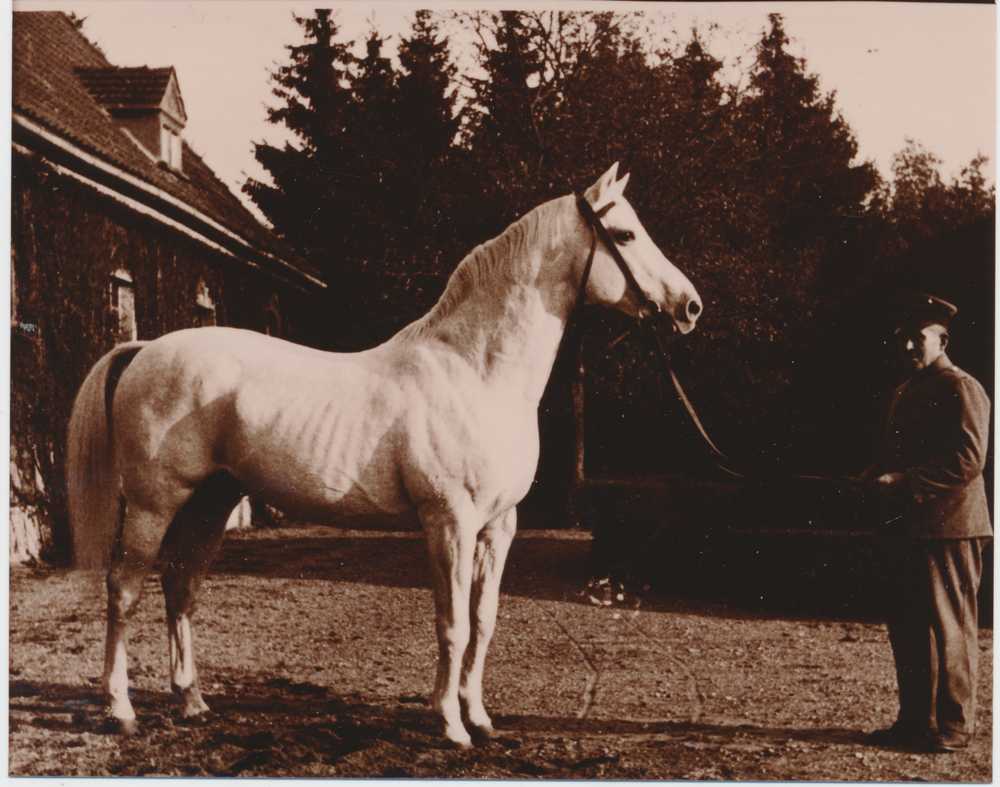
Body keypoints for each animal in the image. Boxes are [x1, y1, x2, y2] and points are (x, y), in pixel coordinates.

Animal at [66, 163, 704, 748]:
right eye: (624, 234)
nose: (690, 307)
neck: (476, 373)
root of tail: (146, 348)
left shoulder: (499, 526)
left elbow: (483, 622)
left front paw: (479, 717)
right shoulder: (450, 522)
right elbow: (451, 624)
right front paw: (450, 725)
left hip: (211, 502)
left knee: (181, 588)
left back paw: (193, 702)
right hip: (154, 503)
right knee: (124, 590)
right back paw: (121, 710)